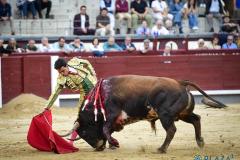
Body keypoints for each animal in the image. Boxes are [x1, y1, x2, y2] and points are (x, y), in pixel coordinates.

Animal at [65, 74, 227, 152]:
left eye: (84, 132)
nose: (98, 147)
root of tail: (180, 83)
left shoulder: (111, 115)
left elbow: (105, 129)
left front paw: (114, 143)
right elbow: (107, 131)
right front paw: (112, 145)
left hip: (166, 115)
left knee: (171, 130)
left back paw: (161, 149)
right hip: (182, 114)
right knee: (196, 119)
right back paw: (200, 142)